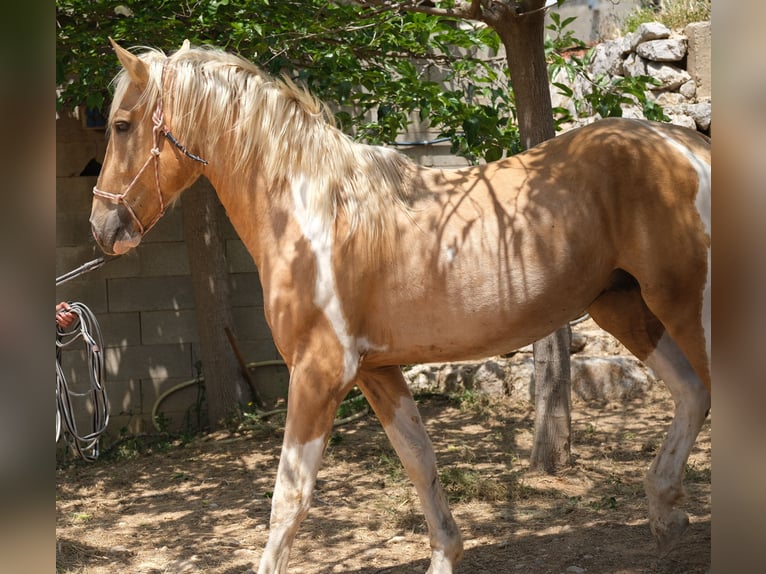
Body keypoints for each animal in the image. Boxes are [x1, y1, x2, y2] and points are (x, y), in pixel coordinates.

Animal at [91, 38, 712, 572]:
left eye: (122, 125)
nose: (103, 227)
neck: (317, 213)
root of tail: (690, 147)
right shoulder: (377, 371)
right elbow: (419, 460)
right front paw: (446, 554)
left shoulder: (319, 373)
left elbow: (290, 495)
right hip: (625, 308)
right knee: (691, 394)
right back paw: (665, 514)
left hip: (684, 309)